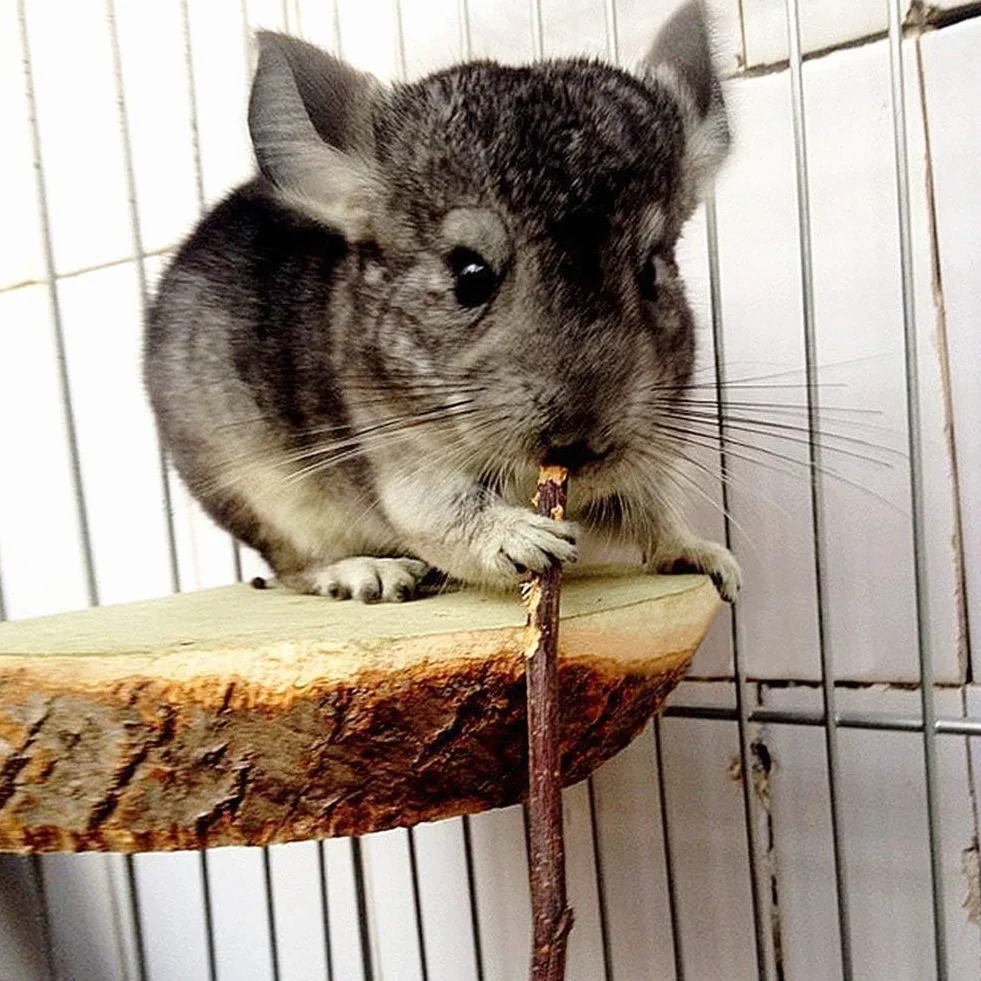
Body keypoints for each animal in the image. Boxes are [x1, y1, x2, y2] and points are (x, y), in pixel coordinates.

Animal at [144, 0, 741, 604]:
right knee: (293, 567)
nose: (578, 440)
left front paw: (711, 561)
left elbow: (651, 509)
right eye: (470, 274)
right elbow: (446, 516)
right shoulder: (401, 465)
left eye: (651, 271)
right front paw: (528, 541)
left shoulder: (640, 463)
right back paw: (369, 573)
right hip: (262, 497)